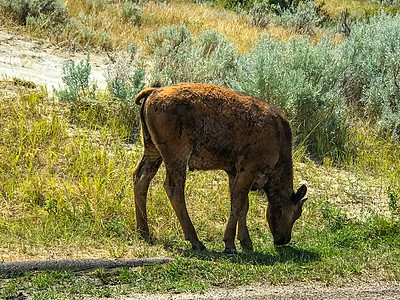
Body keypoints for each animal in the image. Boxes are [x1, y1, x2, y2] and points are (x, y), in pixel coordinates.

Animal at [134, 82, 306, 253]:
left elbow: (242, 205)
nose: (283, 240)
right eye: (296, 213)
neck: (278, 138)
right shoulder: (248, 169)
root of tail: (155, 91)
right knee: (174, 188)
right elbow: (239, 202)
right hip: (177, 156)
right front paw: (230, 244)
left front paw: (246, 242)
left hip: (152, 150)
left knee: (140, 177)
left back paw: (144, 231)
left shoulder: (234, 172)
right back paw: (196, 241)